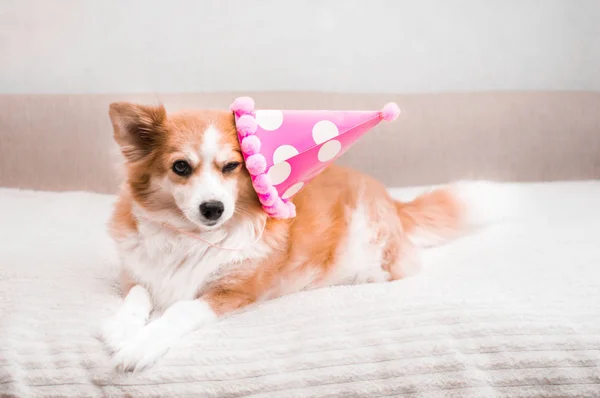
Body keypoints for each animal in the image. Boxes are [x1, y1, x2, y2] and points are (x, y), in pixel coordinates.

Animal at [99, 102, 506, 370]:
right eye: (181, 167)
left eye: (231, 166)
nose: (213, 208)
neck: (190, 237)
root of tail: (391, 199)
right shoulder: (134, 270)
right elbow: (138, 294)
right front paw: (122, 328)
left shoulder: (236, 291)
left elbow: (181, 309)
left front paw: (142, 345)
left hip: (372, 248)